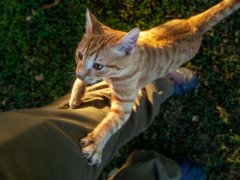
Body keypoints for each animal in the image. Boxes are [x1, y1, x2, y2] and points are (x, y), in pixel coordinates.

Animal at [68, 0, 239, 165]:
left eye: (98, 66)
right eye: (80, 55)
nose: (79, 73)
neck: (112, 75)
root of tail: (192, 24)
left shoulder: (124, 106)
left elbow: (111, 124)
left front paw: (96, 142)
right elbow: (83, 81)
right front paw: (77, 93)